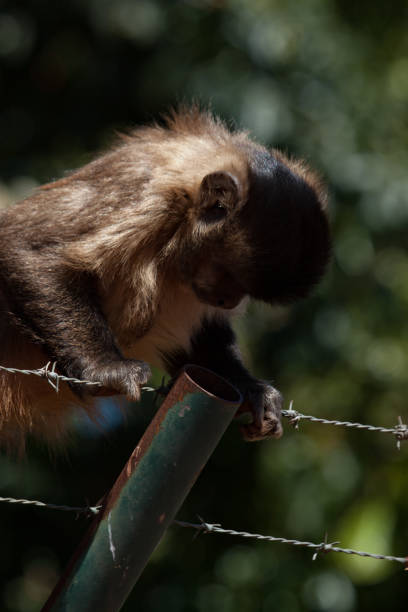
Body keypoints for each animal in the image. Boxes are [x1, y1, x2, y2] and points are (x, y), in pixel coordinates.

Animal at [0, 107, 330, 448]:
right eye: (228, 275)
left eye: (242, 290)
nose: (228, 300)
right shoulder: (148, 193)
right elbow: (26, 248)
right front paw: (104, 369)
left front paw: (251, 390)